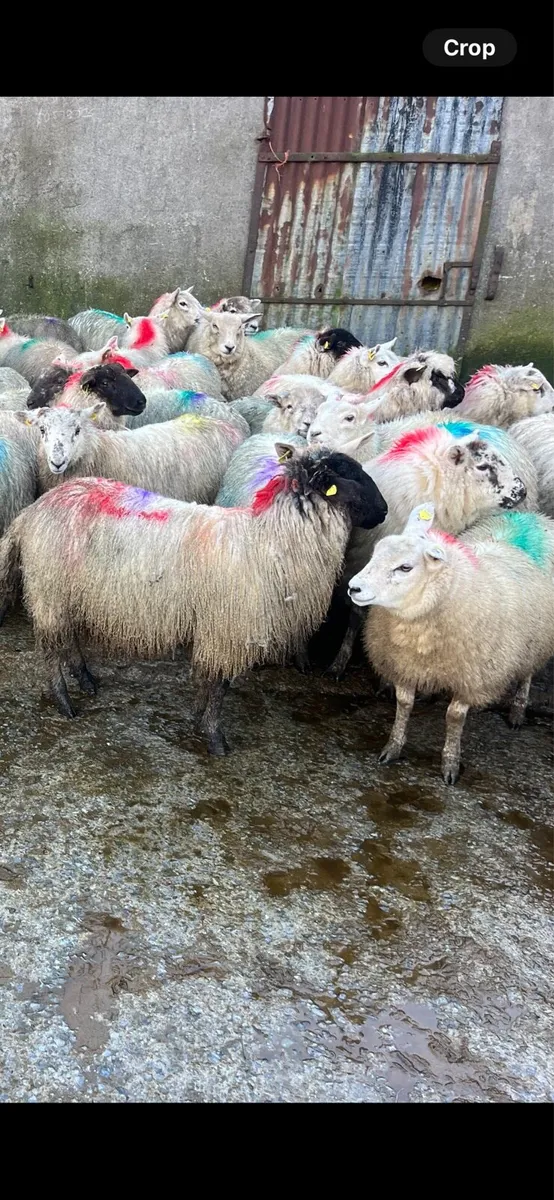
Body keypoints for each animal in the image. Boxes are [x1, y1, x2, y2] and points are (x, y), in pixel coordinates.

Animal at [0, 449, 387, 752]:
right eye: (352, 475)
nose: (384, 511)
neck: (269, 540)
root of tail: (30, 513)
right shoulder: (226, 630)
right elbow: (220, 685)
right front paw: (216, 738)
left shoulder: (218, 629)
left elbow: (209, 681)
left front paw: (198, 716)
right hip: (48, 589)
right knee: (52, 649)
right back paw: (64, 701)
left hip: (66, 592)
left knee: (68, 640)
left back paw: (86, 680)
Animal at [347, 503, 554, 783]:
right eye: (376, 553)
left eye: (405, 568)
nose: (353, 588)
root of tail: (532, 517)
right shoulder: (405, 664)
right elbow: (404, 705)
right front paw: (393, 747)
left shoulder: (472, 675)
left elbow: (454, 718)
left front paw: (450, 763)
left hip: (534, 640)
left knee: (527, 674)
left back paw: (517, 712)